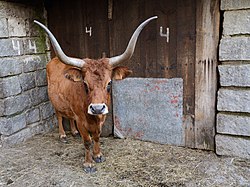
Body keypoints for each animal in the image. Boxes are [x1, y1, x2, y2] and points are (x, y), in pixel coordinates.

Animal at [34, 16, 157, 173]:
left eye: (109, 83)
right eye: (85, 84)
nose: (97, 108)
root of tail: (54, 60)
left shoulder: (102, 118)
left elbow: (97, 137)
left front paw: (98, 155)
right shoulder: (81, 120)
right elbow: (87, 141)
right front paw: (88, 163)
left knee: (69, 117)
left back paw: (73, 132)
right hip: (55, 101)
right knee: (60, 116)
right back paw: (62, 135)